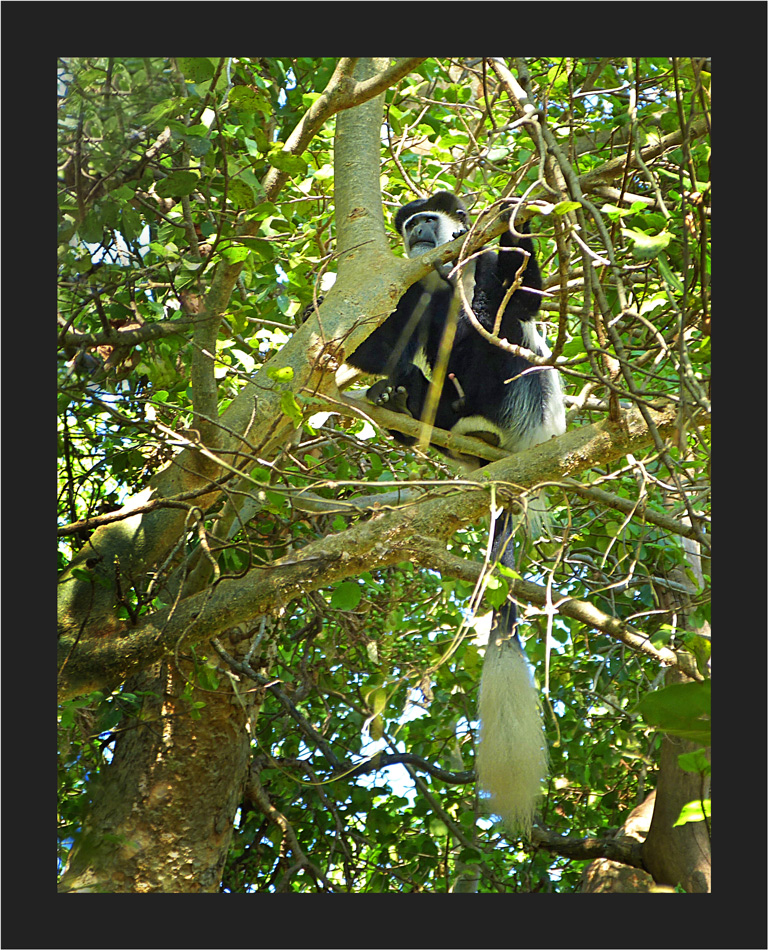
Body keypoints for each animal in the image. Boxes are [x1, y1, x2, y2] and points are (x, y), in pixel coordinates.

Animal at [348, 192, 564, 832]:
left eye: (429, 219)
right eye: (412, 223)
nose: (419, 230)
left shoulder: (483, 269)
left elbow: (525, 296)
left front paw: (516, 212)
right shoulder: (414, 287)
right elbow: (381, 346)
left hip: (524, 404)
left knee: (499, 334)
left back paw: (475, 421)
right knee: (423, 349)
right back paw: (407, 403)